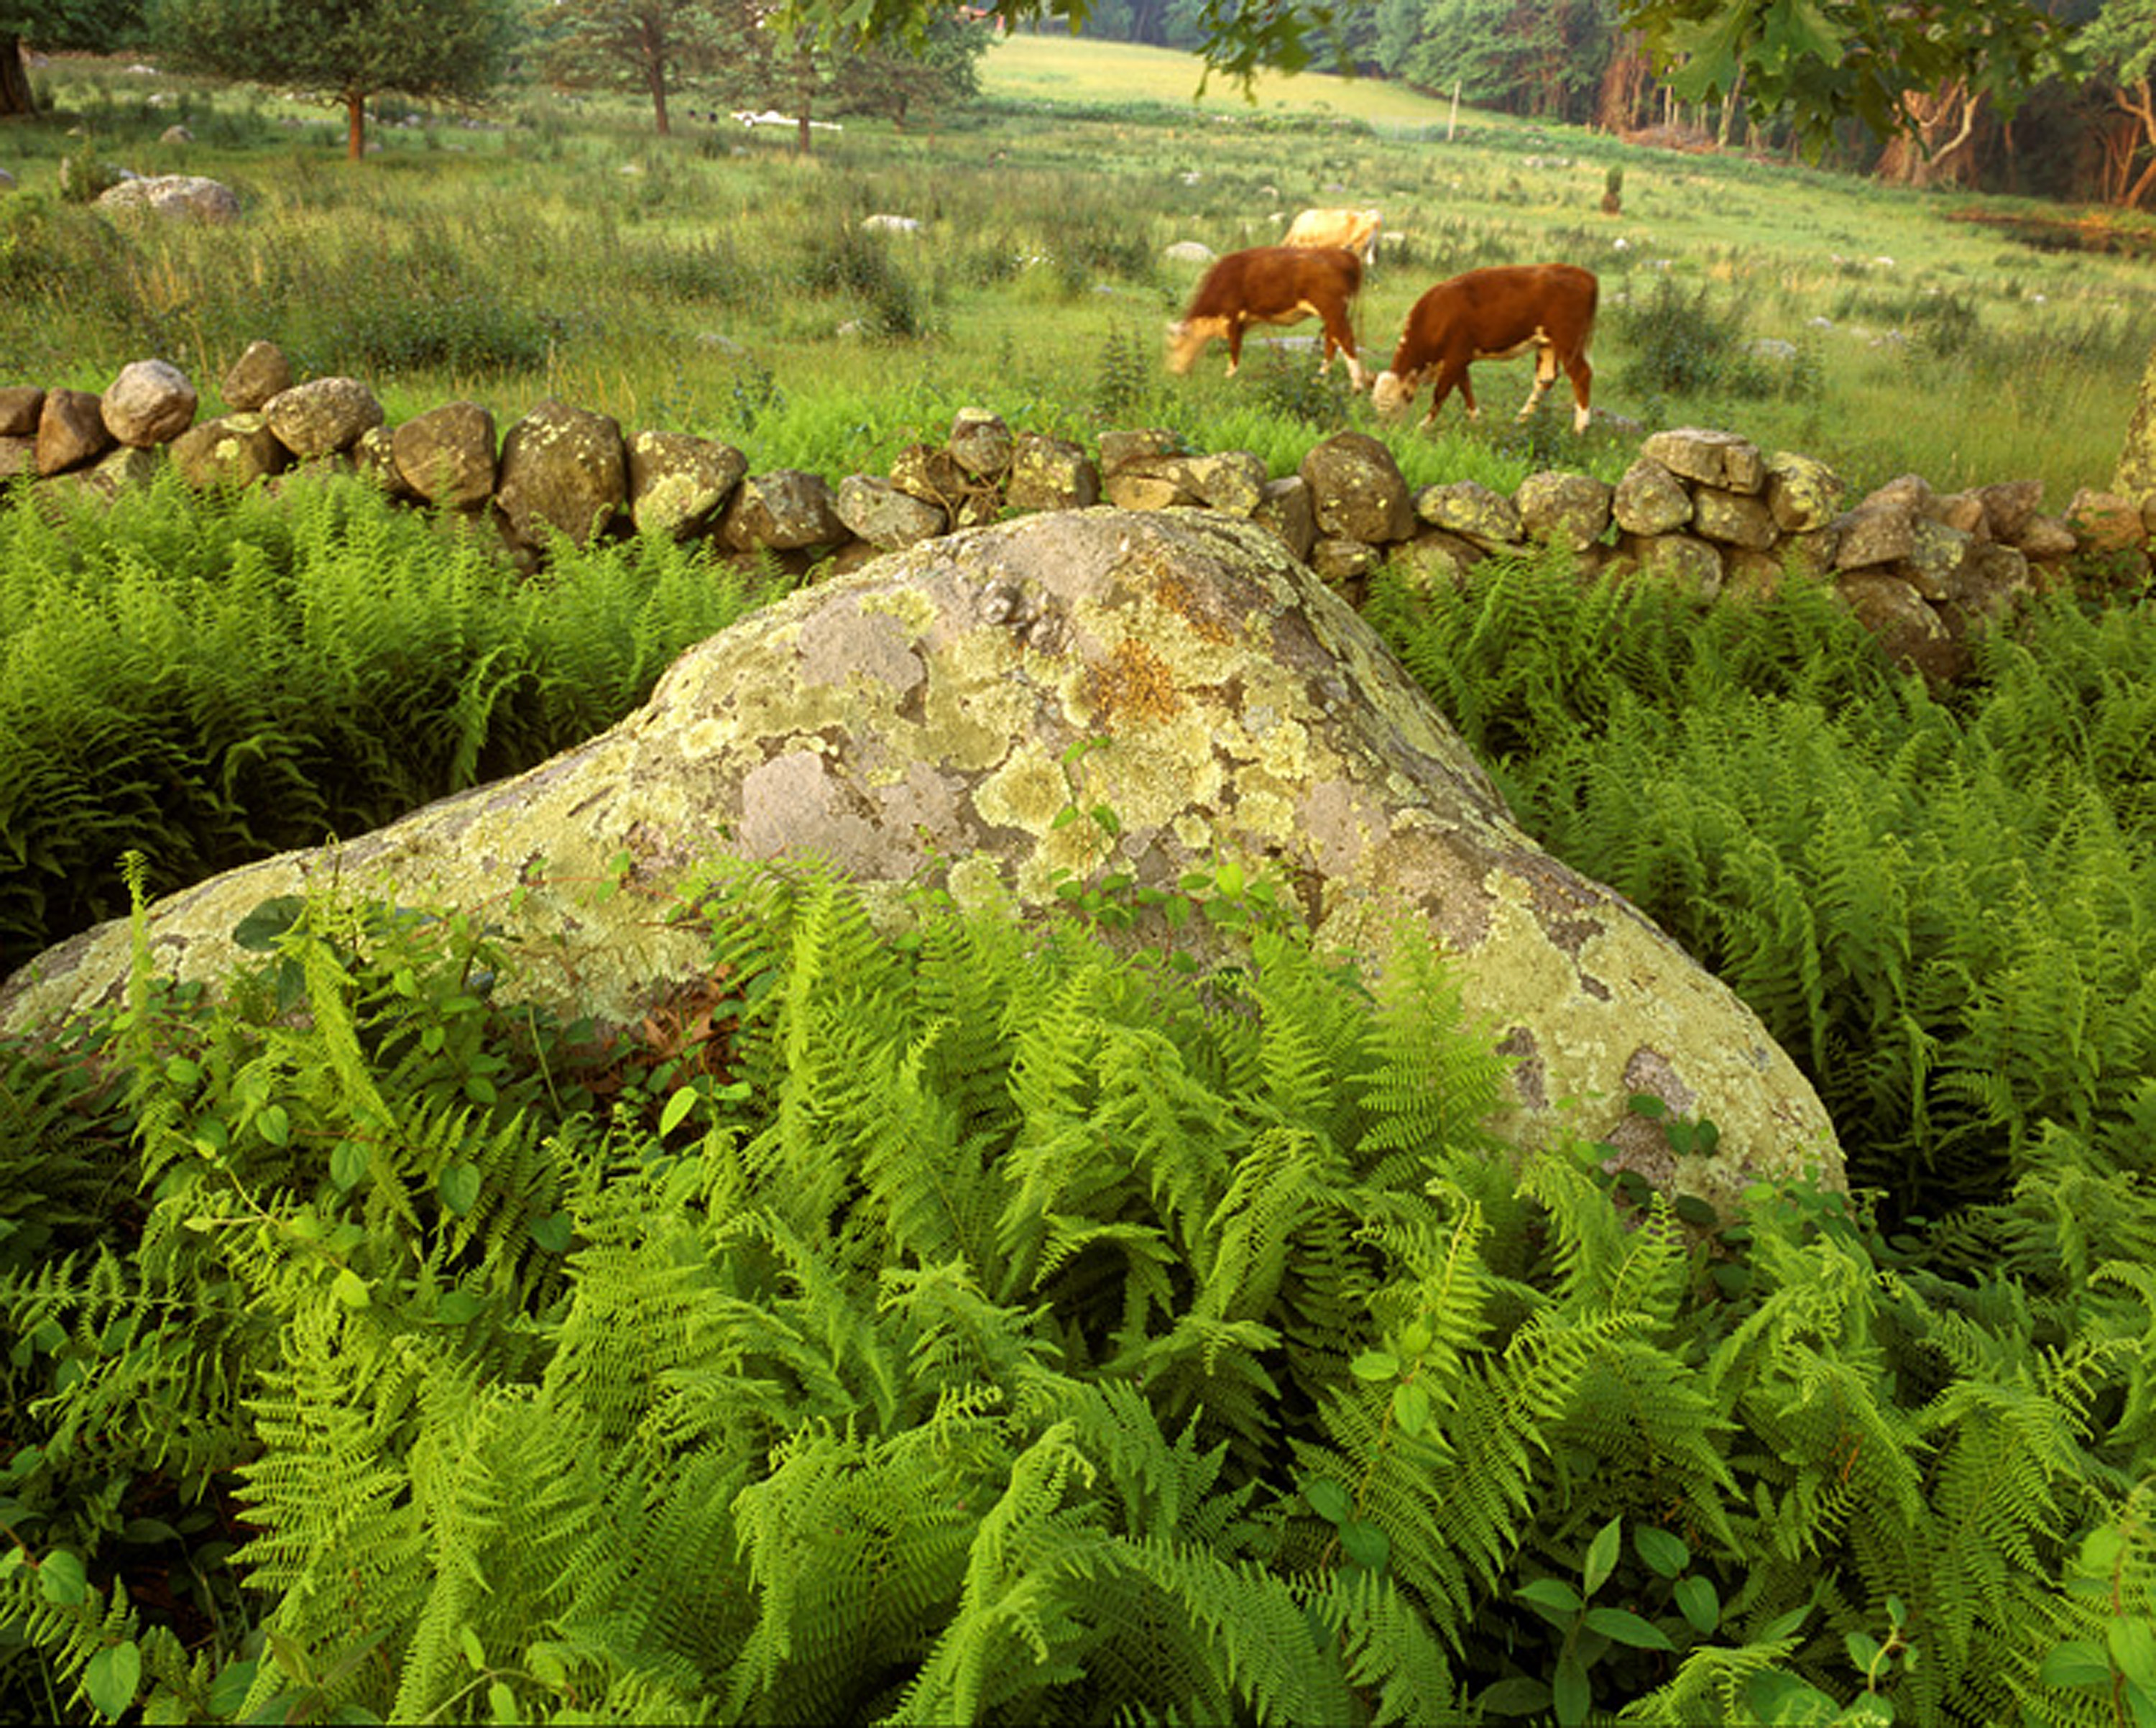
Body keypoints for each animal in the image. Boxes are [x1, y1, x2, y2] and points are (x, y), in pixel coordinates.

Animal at [1173, 244, 1371, 388]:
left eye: (1174, 346)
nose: (1173, 373)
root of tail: (1342, 253)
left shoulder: (1233, 317)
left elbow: (1234, 347)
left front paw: (1229, 375)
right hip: (1331, 315)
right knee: (1332, 342)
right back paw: (1319, 378)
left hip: (1333, 310)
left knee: (1345, 340)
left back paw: (1356, 385)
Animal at [1371, 266, 1595, 438]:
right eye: (1376, 405)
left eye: (1392, 405)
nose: (1384, 430)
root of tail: (1583, 274)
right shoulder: (1458, 360)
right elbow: (1466, 389)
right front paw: (1476, 421)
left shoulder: (1456, 356)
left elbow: (1440, 393)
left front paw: (1424, 425)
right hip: (1547, 344)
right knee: (1545, 379)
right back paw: (1520, 421)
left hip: (1568, 342)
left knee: (1581, 375)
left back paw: (1580, 429)